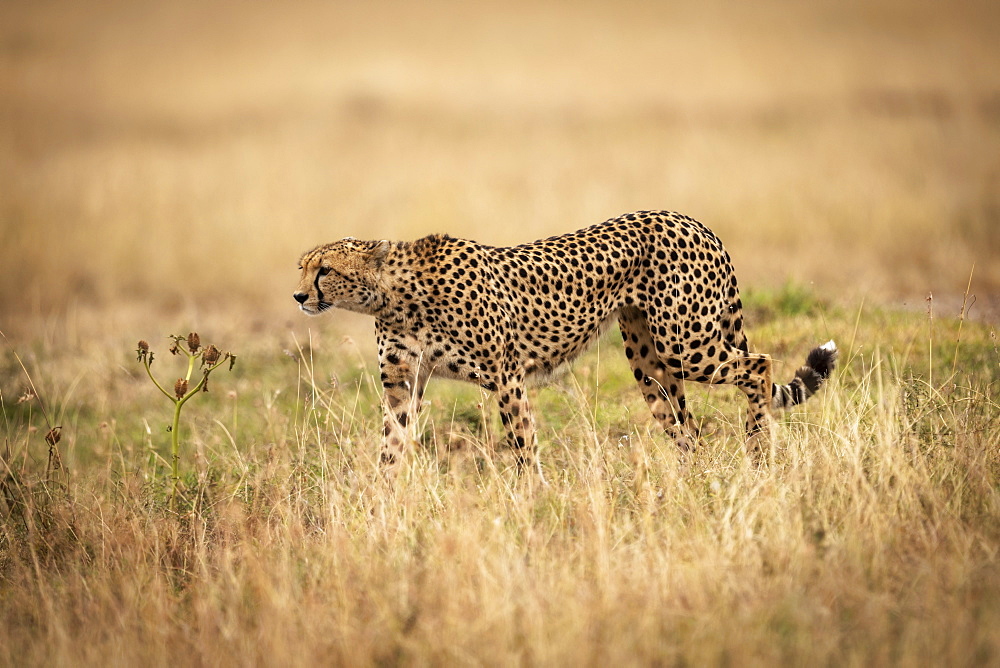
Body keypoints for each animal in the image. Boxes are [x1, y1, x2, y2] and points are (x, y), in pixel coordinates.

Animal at [294, 211, 836, 472]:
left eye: (325, 270)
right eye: (302, 266)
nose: (299, 295)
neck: (395, 296)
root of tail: (691, 219)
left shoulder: (507, 376)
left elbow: (524, 446)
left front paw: (531, 503)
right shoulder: (402, 385)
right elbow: (390, 448)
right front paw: (378, 511)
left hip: (688, 344)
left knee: (759, 365)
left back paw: (759, 452)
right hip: (650, 363)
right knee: (687, 428)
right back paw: (693, 482)